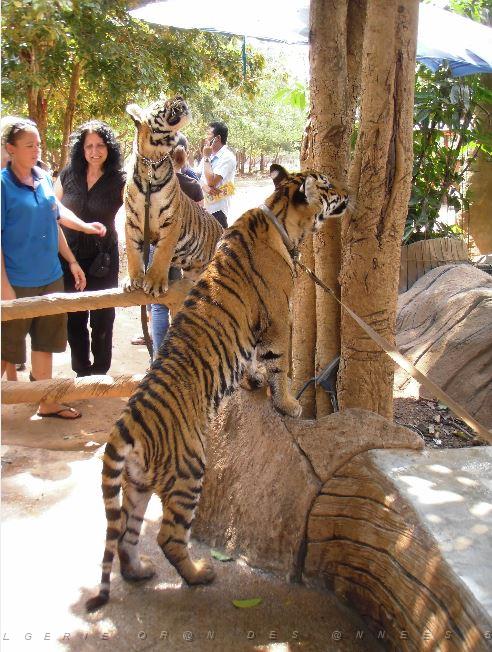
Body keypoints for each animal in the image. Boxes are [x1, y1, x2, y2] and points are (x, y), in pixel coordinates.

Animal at [85, 164, 349, 612]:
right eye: (328, 185)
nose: (348, 193)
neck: (283, 219)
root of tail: (126, 426)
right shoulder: (279, 319)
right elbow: (279, 366)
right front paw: (288, 404)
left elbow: (255, 364)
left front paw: (254, 382)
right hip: (189, 468)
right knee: (168, 536)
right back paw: (199, 575)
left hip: (136, 485)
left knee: (125, 536)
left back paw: (140, 572)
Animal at [124, 95, 223, 296]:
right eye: (160, 102)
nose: (179, 97)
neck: (152, 160)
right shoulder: (131, 220)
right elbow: (132, 251)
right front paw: (132, 278)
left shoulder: (172, 221)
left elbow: (162, 253)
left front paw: (154, 282)